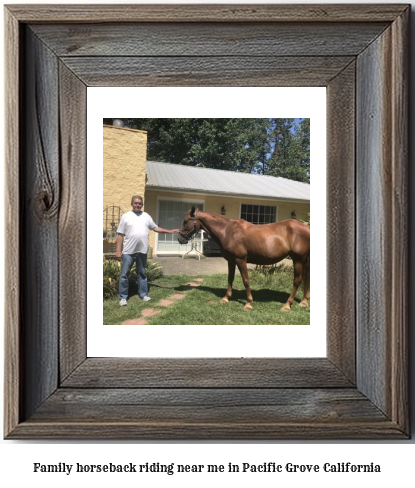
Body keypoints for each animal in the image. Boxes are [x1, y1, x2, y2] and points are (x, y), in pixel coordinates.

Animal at [177, 208, 310, 310]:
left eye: (185, 221)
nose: (180, 239)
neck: (228, 230)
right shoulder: (231, 260)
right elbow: (230, 278)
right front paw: (226, 298)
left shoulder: (240, 260)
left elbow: (246, 280)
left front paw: (248, 303)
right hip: (305, 261)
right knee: (306, 278)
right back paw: (304, 302)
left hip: (298, 260)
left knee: (297, 281)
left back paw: (287, 305)